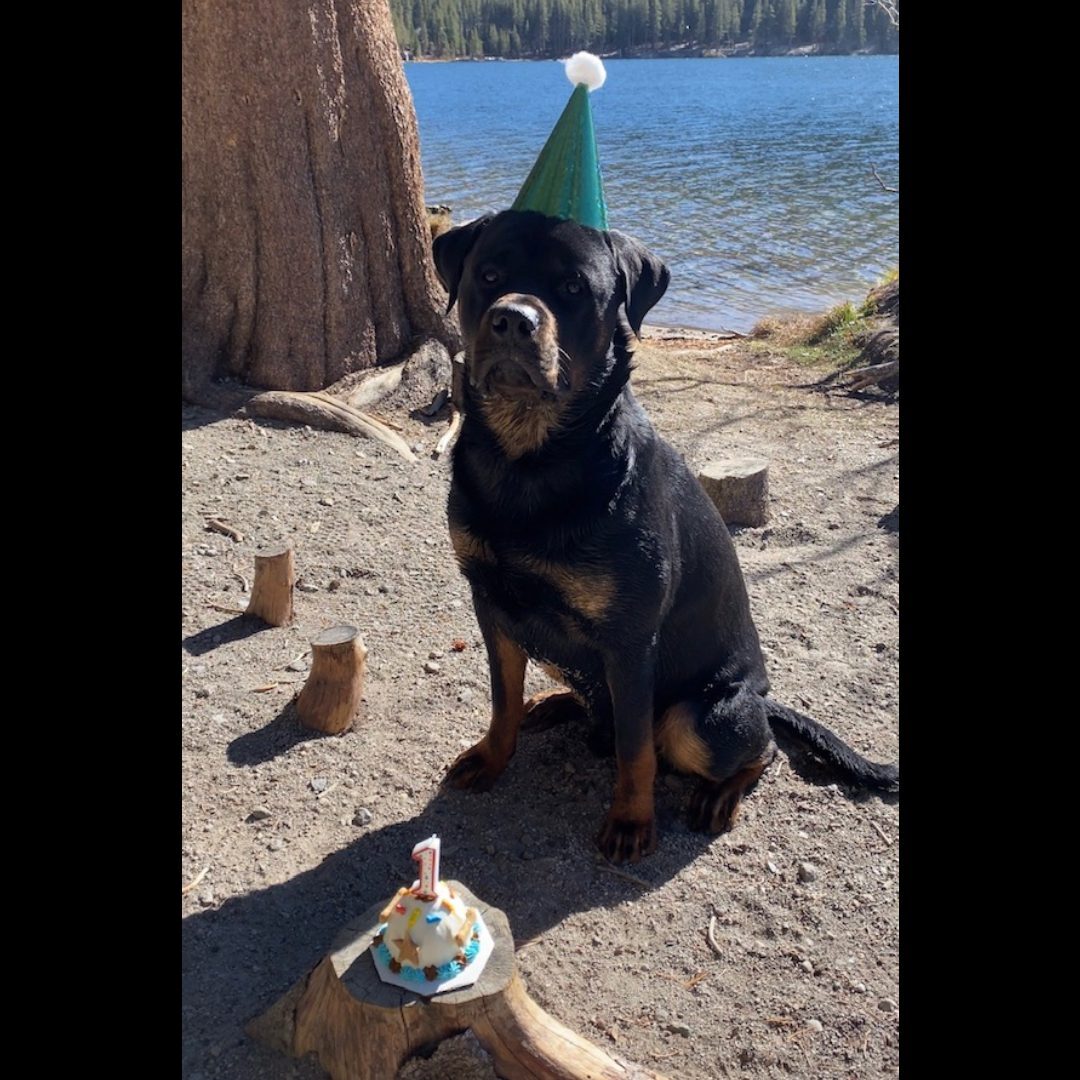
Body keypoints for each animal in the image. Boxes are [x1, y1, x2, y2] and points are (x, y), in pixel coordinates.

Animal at [429, 210, 894, 864]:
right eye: (488, 275)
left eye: (573, 288)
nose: (512, 319)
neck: (530, 460)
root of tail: (764, 698)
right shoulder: (491, 602)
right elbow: (502, 700)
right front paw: (493, 756)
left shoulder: (629, 638)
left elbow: (634, 750)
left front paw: (630, 821)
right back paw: (554, 704)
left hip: (701, 716)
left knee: (753, 748)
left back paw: (721, 794)